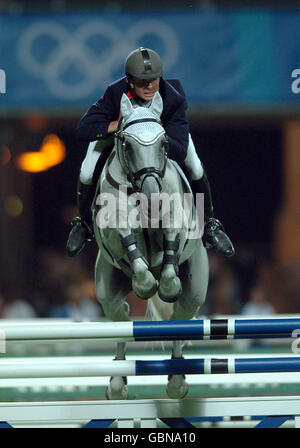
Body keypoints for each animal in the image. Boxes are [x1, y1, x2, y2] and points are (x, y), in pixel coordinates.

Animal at [91, 91, 209, 400]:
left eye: (164, 143)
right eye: (128, 145)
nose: (152, 197)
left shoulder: (176, 221)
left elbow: (169, 250)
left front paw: (166, 286)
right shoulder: (114, 224)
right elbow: (128, 241)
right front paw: (145, 285)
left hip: (194, 292)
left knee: (179, 318)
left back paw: (177, 380)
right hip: (109, 290)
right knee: (121, 322)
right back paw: (116, 383)